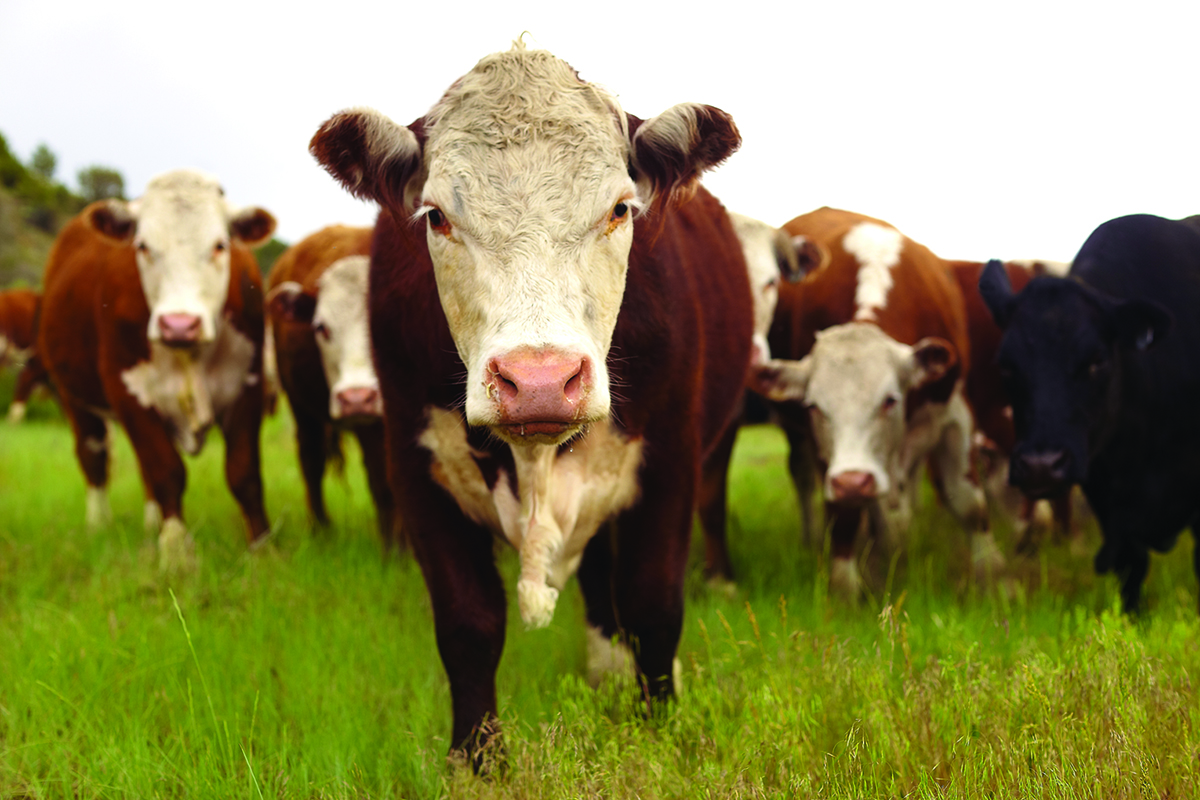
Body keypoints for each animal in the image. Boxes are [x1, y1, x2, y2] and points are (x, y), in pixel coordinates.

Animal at [38, 169, 276, 570]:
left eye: (220, 245)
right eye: (143, 246)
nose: (179, 325)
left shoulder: (248, 385)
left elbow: (244, 472)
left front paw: (261, 549)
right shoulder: (128, 393)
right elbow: (166, 470)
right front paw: (176, 553)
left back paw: (151, 523)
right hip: (74, 397)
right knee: (94, 455)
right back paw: (99, 525)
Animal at [266, 225, 397, 546]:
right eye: (321, 327)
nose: (356, 397)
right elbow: (383, 484)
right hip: (302, 411)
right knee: (311, 462)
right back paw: (320, 530)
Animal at [309, 42, 750, 766]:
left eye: (620, 209)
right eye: (437, 216)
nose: (539, 380)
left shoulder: (671, 462)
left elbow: (654, 602)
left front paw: (659, 727)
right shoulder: (415, 467)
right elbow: (468, 622)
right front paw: (477, 762)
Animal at [750, 207, 1004, 598]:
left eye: (890, 400)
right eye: (814, 407)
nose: (854, 481)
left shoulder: (954, 414)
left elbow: (969, 503)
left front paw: (995, 581)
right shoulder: (831, 458)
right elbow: (844, 516)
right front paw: (845, 591)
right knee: (808, 480)